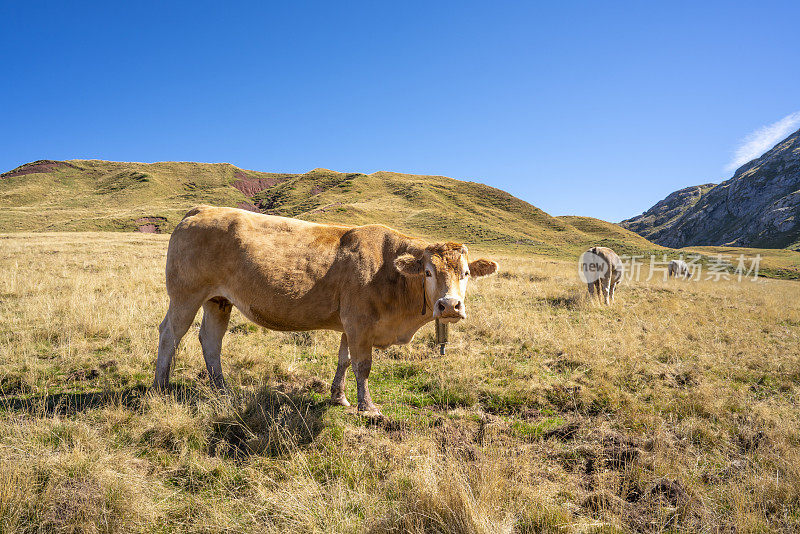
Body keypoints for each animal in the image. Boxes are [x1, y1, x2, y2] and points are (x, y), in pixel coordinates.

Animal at [153, 207, 496, 416]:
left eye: (466, 273)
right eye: (427, 272)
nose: (449, 306)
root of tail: (201, 210)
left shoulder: (350, 324)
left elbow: (344, 360)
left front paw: (339, 397)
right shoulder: (359, 322)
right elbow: (362, 365)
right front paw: (368, 407)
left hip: (218, 300)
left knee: (211, 340)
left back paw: (222, 389)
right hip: (185, 295)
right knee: (170, 333)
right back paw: (160, 386)